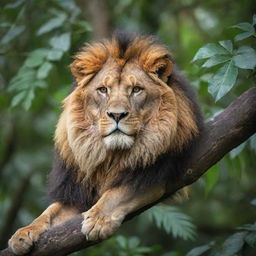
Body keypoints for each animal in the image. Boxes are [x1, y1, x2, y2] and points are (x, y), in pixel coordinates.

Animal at [8, 31, 202, 254]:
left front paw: (99, 220)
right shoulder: (75, 191)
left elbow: (116, 193)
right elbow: (49, 212)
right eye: (103, 89)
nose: (117, 115)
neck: (110, 155)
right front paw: (23, 233)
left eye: (136, 89)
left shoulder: (153, 175)